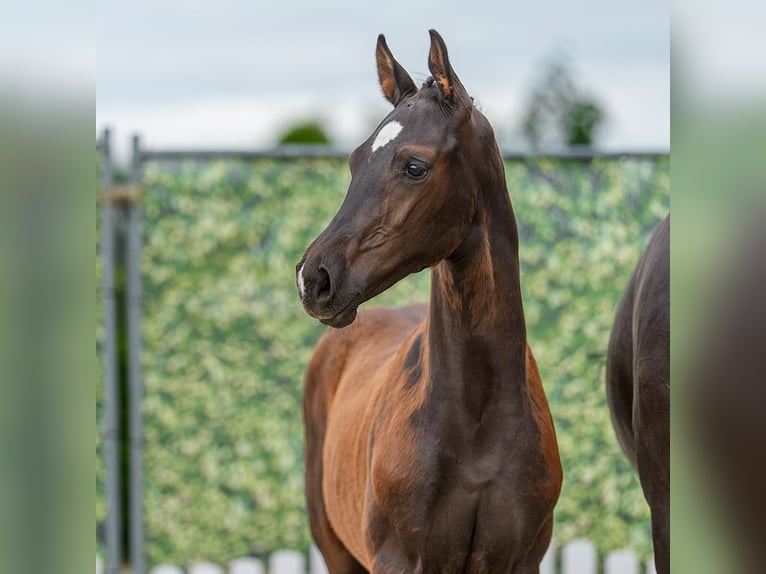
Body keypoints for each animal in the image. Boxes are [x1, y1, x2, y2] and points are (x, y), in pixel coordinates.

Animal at [296, 30, 562, 574]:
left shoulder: (522, 559)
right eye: (355, 160)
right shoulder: (399, 560)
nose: (314, 278)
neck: (478, 425)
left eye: (414, 166)